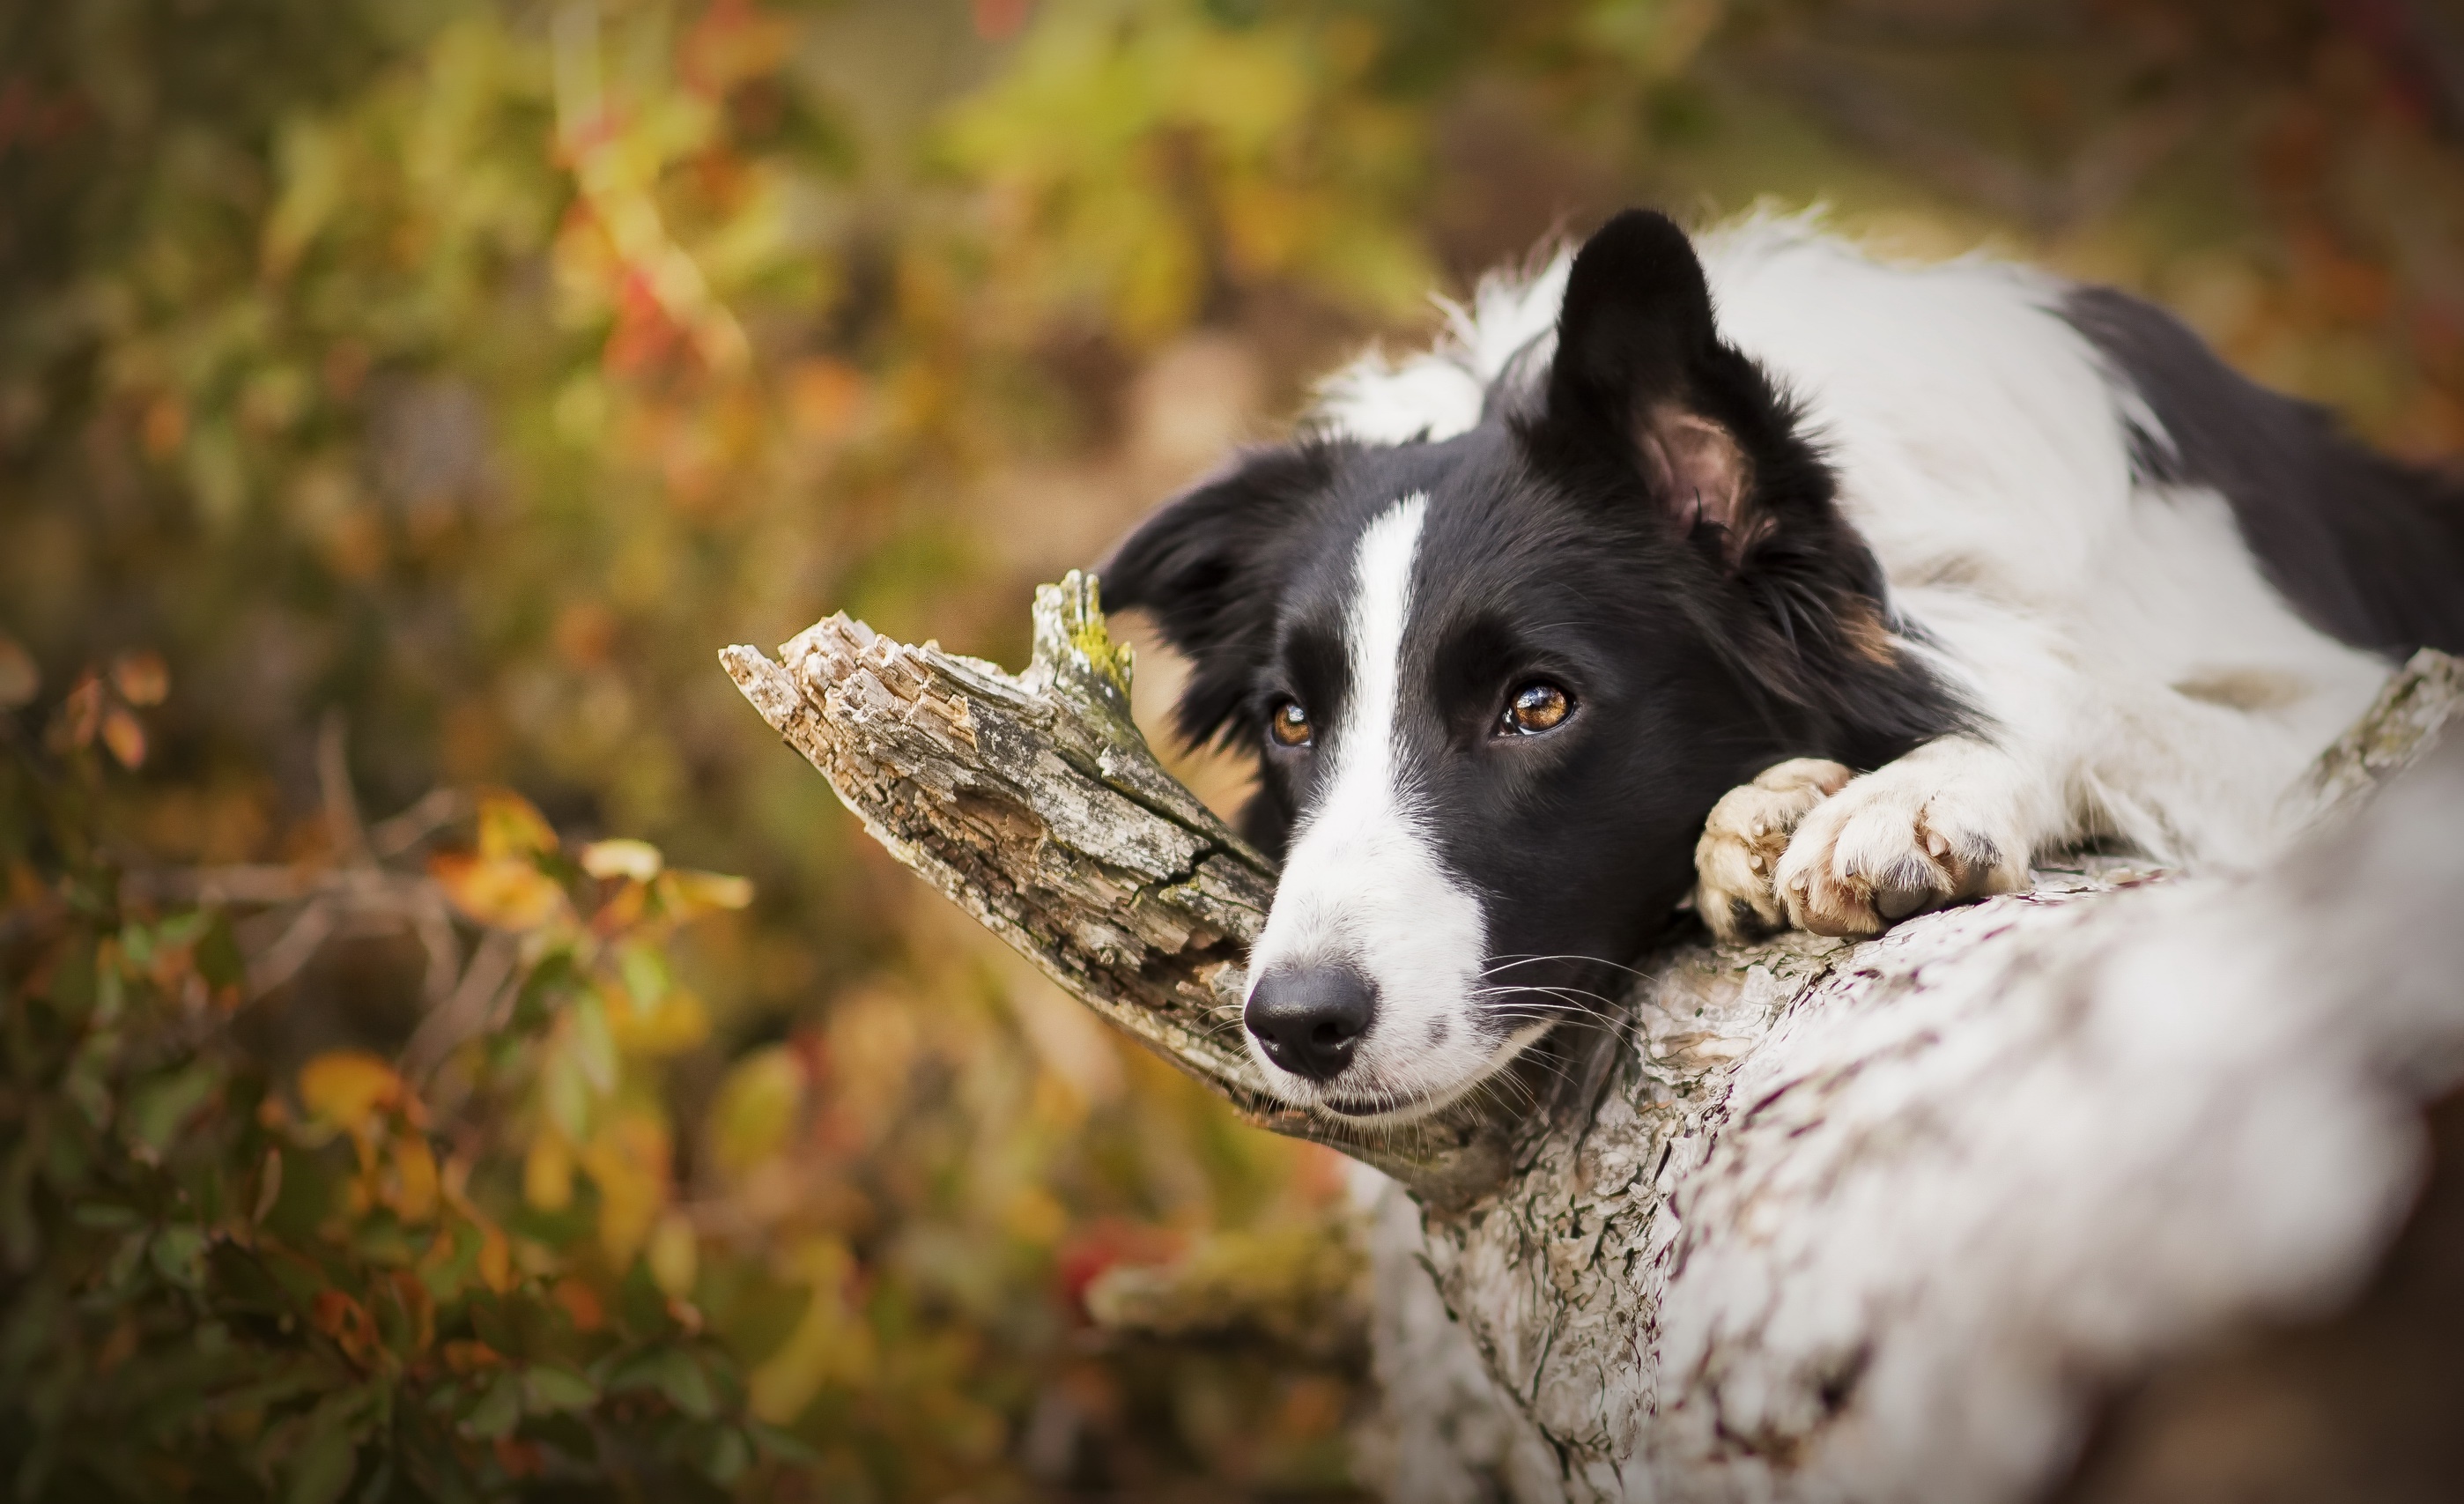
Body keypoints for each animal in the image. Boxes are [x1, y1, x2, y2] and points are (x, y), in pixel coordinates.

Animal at [1104, 213, 2464, 1124]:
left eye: (1537, 704)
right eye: (1291, 720)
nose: (1297, 1024)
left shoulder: (2346, 710)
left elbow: (2078, 685)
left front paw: (1905, 792)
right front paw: (1758, 817)